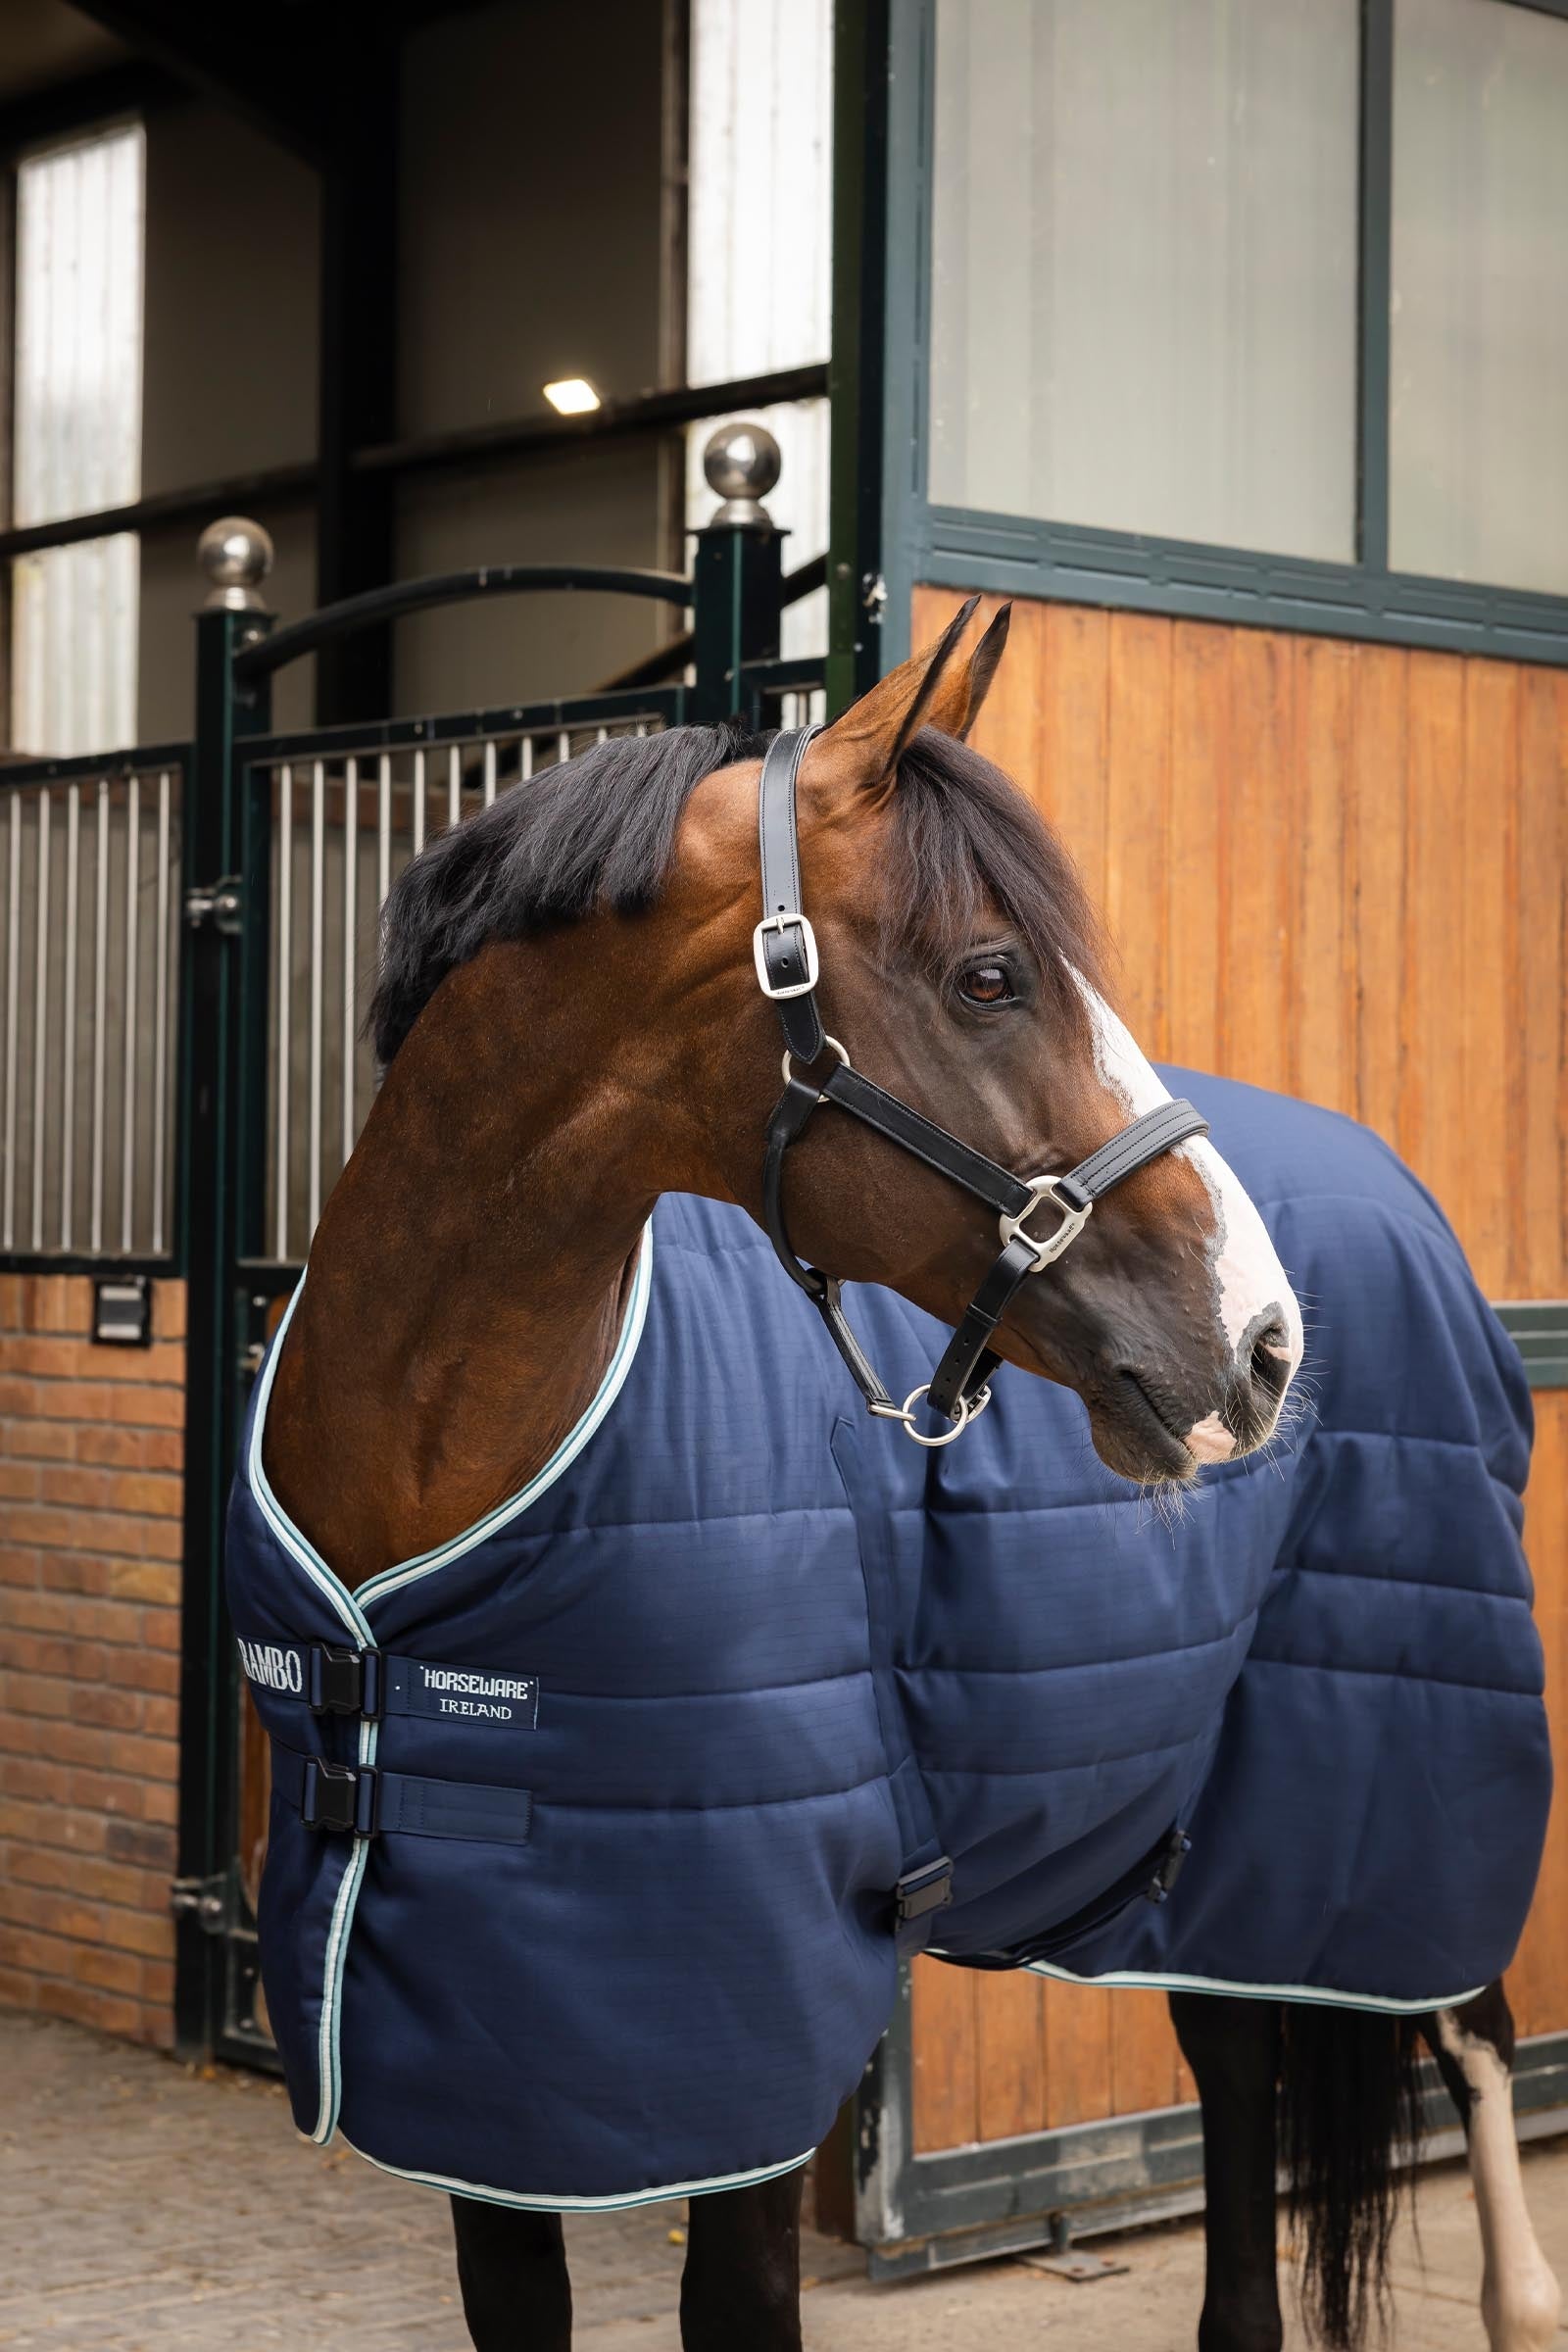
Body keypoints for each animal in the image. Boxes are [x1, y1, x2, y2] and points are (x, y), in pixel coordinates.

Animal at [238, 602, 1551, 2349]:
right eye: (992, 976)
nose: (1263, 1340)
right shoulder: (497, 2075)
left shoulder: (745, 2056)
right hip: (1201, 1836)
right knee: (1240, 2068)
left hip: (1402, 1777)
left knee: (1470, 2034)